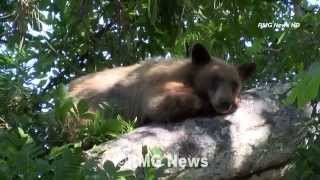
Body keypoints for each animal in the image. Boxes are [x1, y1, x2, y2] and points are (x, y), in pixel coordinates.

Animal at [69, 43, 256, 125]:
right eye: (215, 79)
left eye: (235, 84)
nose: (225, 102)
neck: (187, 74)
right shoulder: (158, 81)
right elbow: (161, 104)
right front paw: (205, 104)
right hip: (84, 108)